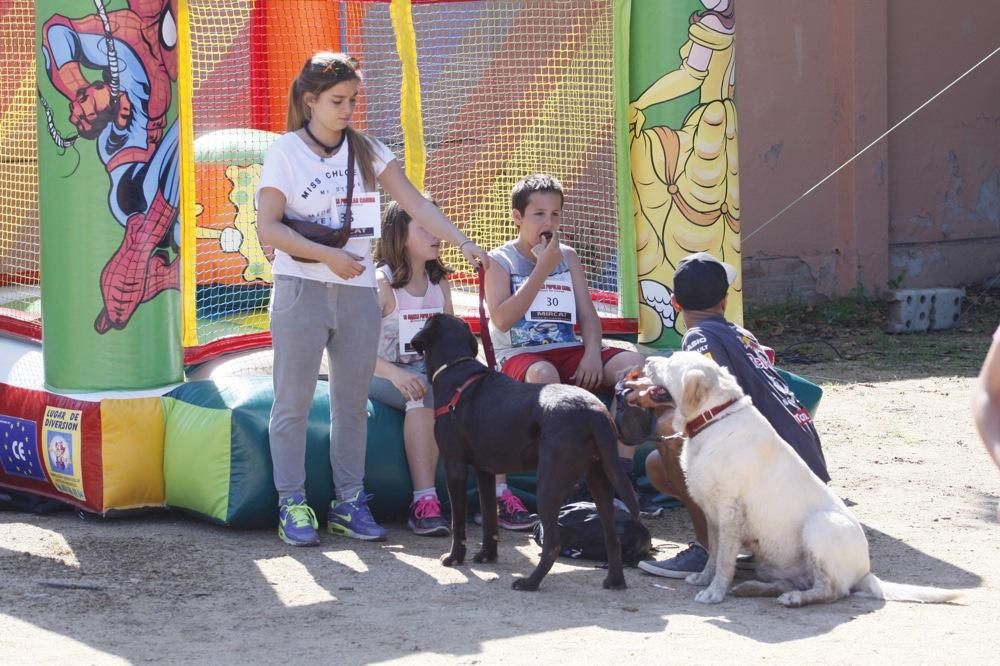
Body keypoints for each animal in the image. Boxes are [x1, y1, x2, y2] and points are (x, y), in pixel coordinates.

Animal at [408, 312, 636, 588]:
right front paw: (487, 555)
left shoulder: (455, 467)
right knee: (612, 537)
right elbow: (490, 519)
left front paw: (454, 557)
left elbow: (458, 523)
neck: (455, 368)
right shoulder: (485, 472)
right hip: (599, 478)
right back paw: (614, 581)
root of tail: (595, 411)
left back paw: (529, 583)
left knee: (553, 545)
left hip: (549, 482)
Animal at [644, 352, 956, 608]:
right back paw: (754, 588)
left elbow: (723, 560)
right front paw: (702, 578)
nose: (646, 361)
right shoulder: (711, 513)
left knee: (832, 591)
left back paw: (794, 598)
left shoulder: (730, 511)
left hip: (821, 527)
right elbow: (712, 553)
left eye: (671, 362)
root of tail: (866, 573)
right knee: (791, 582)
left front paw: (714, 592)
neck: (714, 419)